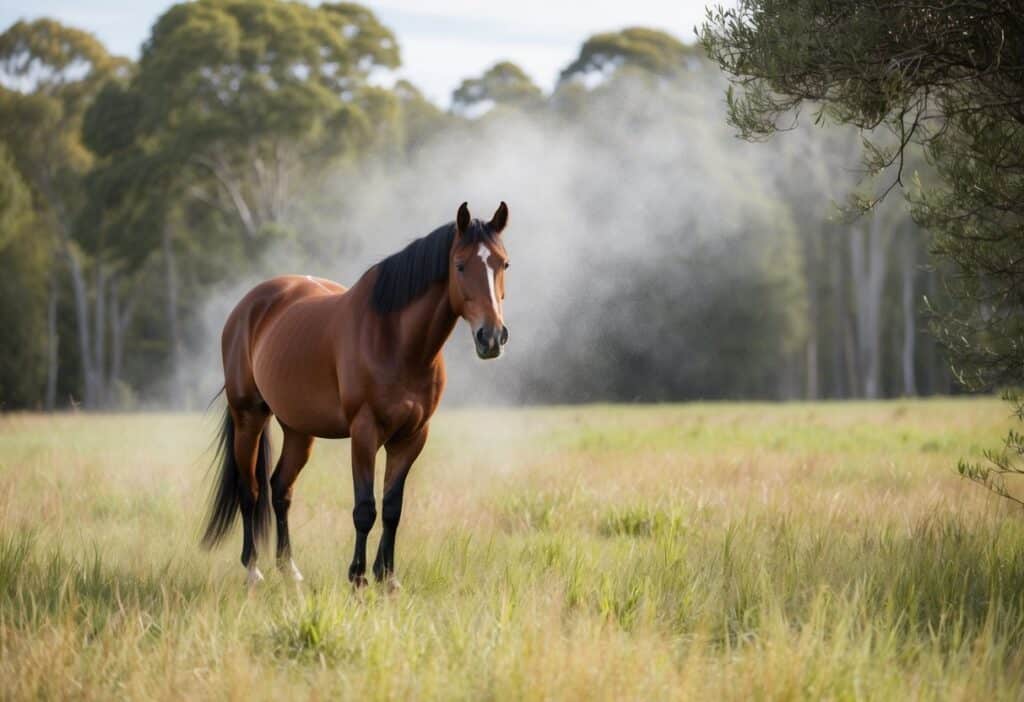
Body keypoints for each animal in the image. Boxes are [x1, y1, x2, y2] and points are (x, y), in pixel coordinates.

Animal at [202, 202, 512, 589]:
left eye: (504, 263)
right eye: (459, 265)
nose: (492, 337)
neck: (397, 340)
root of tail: (247, 307)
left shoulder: (412, 436)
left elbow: (392, 508)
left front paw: (388, 578)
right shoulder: (364, 432)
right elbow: (365, 508)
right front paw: (358, 577)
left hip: (298, 429)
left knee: (281, 489)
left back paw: (290, 569)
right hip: (249, 417)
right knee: (251, 490)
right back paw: (253, 571)